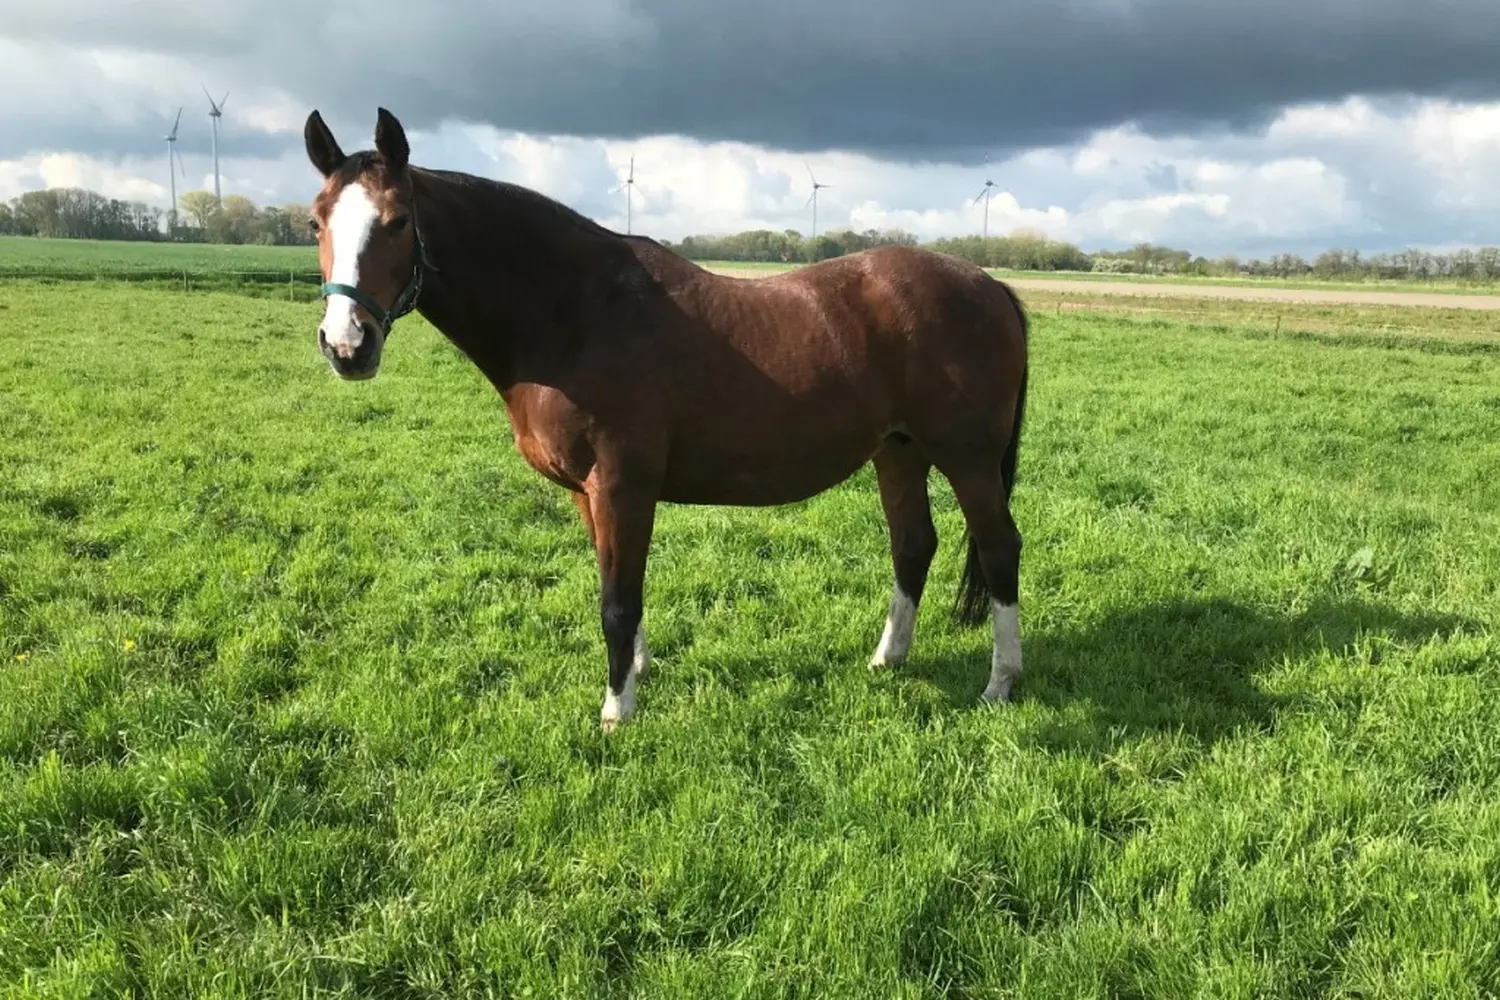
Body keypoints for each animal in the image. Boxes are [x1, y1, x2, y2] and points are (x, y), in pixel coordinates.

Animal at [303, 107, 1030, 731]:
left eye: (398, 220)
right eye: (316, 222)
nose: (346, 345)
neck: (573, 313)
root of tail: (991, 286)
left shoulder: (623, 486)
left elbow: (617, 600)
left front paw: (616, 709)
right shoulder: (589, 494)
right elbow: (616, 584)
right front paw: (636, 672)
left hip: (967, 459)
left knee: (999, 548)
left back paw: (1000, 684)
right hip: (898, 450)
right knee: (913, 545)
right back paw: (888, 658)